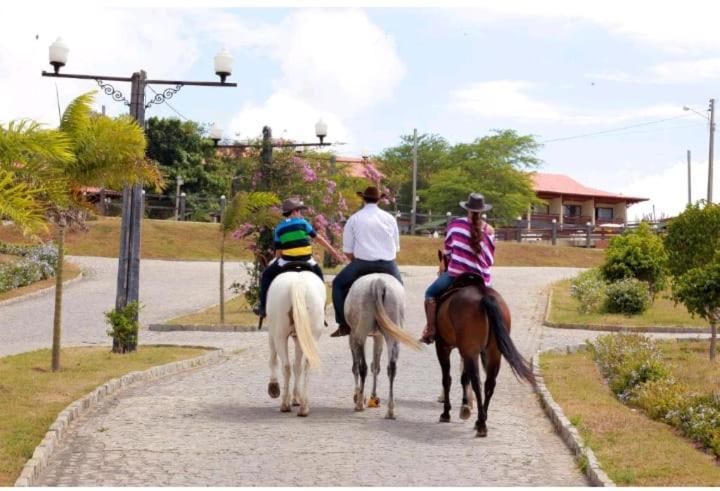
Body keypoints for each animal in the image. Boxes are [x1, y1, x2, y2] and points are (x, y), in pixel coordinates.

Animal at [266, 270, 324, 418]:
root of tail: (298, 283)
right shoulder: (300, 338)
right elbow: (297, 366)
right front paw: (297, 397)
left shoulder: (272, 332)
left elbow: (273, 359)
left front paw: (273, 387)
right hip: (311, 336)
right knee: (306, 365)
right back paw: (304, 407)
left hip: (279, 335)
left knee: (285, 366)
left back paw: (285, 404)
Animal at [344, 272, 422, 418]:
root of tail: (378, 283)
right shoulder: (378, 336)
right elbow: (376, 366)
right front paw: (373, 397)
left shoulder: (353, 336)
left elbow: (356, 366)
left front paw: (358, 395)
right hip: (392, 334)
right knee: (391, 368)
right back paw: (390, 410)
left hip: (361, 334)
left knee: (362, 367)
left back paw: (359, 404)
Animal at [434, 254, 536, 438]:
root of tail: (484, 296)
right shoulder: (466, 350)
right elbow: (463, 377)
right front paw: (465, 407)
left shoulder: (443, 346)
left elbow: (448, 379)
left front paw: (446, 412)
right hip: (493, 352)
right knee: (489, 383)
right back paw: (481, 420)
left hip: (470, 351)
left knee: (476, 381)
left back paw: (481, 424)